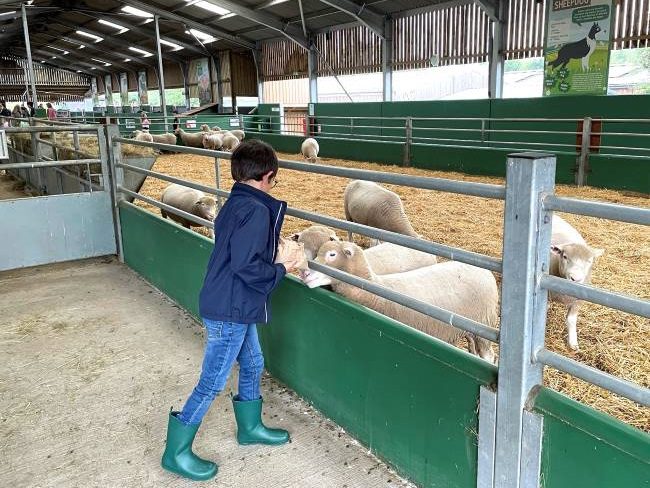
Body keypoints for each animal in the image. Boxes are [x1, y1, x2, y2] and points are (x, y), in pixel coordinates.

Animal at [302, 240, 494, 362]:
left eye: (332, 254)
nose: (305, 273)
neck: (375, 290)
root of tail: (486, 271)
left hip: (484, 324)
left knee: (488, 355)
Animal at [548, 215, 604, 348]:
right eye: (565, 256)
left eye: (589, 261)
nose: (575, 279)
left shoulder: (578, 301)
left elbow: (571, 320)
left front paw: (573, 342)